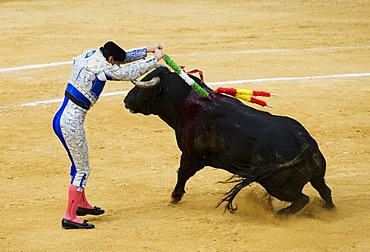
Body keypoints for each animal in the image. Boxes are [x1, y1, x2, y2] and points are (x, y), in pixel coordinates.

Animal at [125, 65, 336, 215]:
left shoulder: (191, 156)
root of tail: (305, 144)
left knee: (302, 199)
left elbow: (182, 174)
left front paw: (174, 198)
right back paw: (329, 210)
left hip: (278, 185)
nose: (126, 100)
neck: (188, 103)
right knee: (324, 190)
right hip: (317, 176)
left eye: (144, 88)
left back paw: (280, 214)